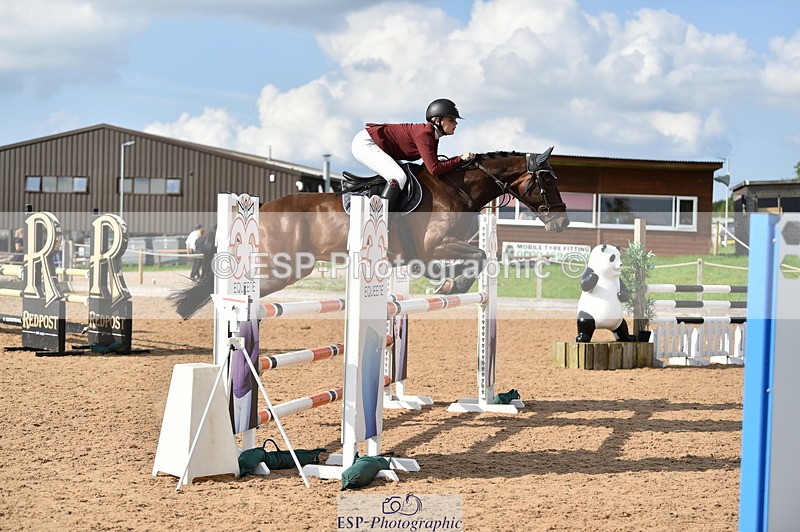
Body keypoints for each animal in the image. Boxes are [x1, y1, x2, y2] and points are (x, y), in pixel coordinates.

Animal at [170, 147, 569, 319]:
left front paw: (447, 283)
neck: (457, 188)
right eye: (548, 179)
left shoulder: (435, 251)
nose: (563, 223)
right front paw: (452, 285)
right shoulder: (434, 246)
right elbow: (480, 256)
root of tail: (263, 205)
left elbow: (478, 258)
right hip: (284, 267)